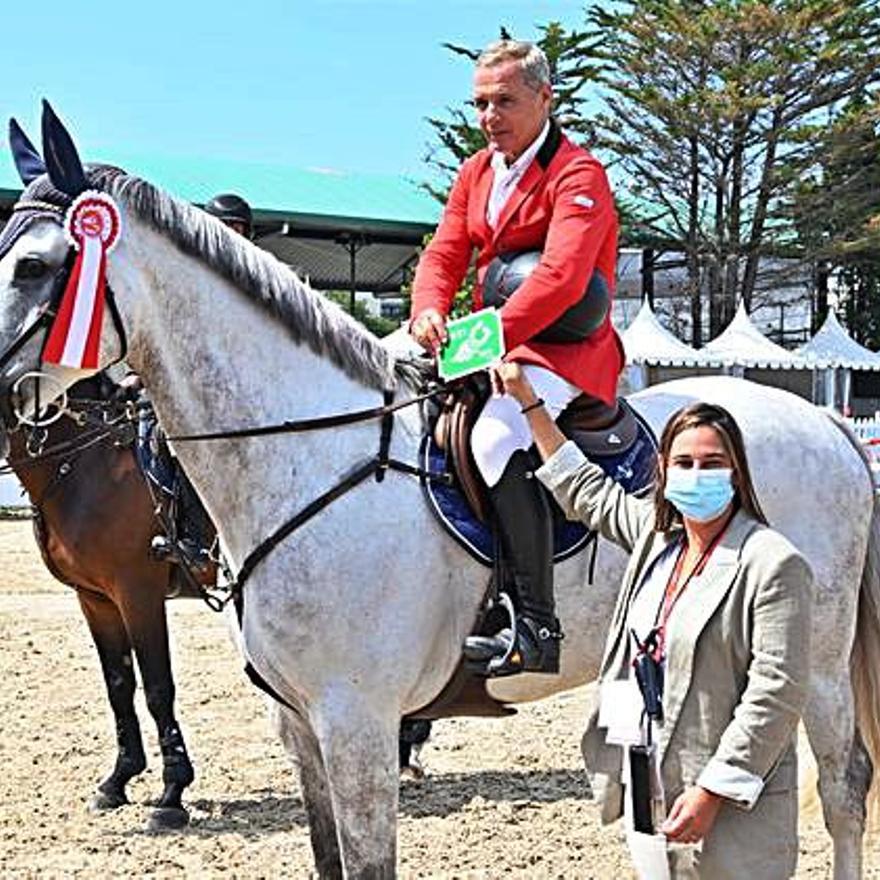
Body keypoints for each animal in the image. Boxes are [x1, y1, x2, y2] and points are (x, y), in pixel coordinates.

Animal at [7, 374, 199, 828]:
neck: (84, 464)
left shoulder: (138, 593)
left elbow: (157, 687)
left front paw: (172, 793)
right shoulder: (96, 600)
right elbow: (119, 685)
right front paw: (118, 780)